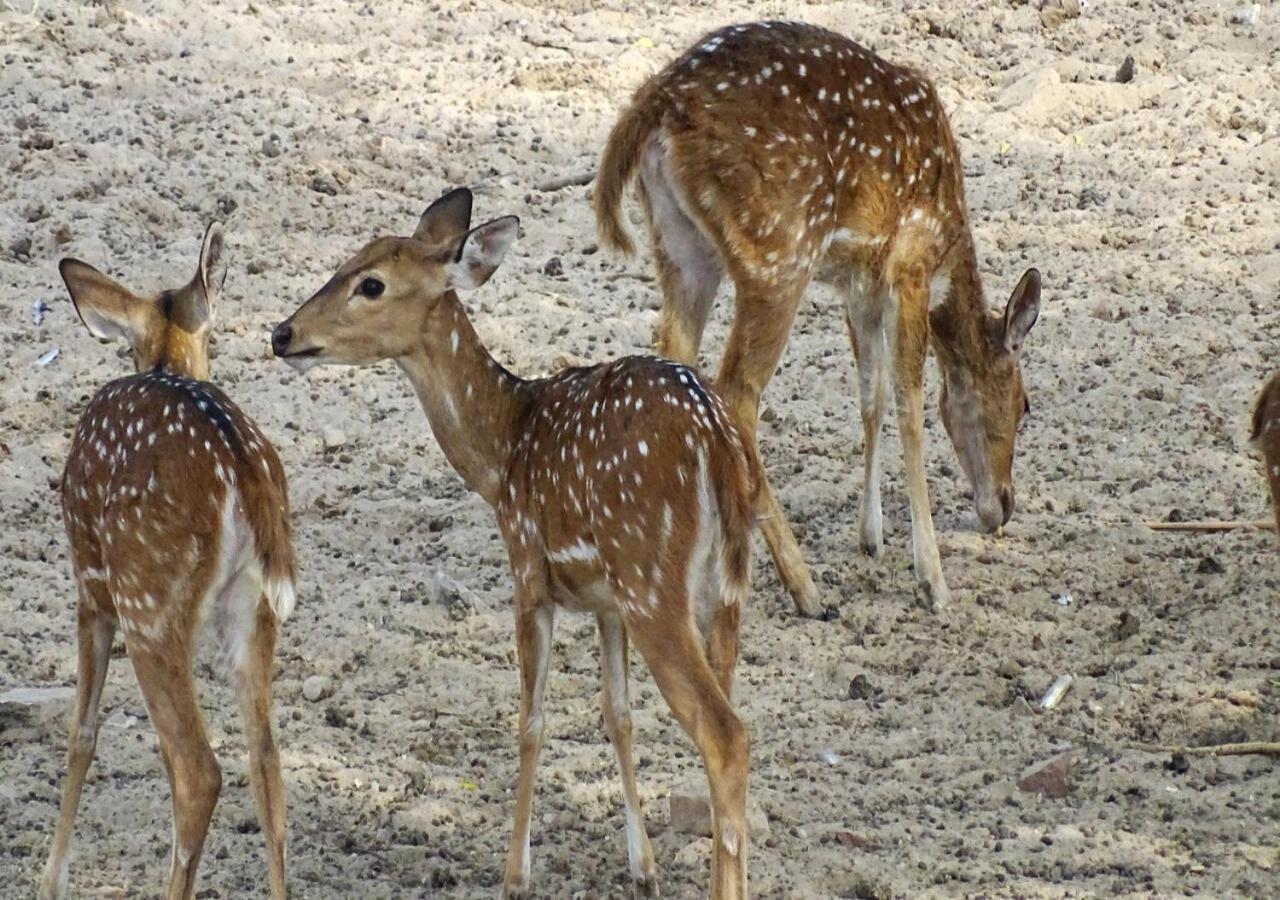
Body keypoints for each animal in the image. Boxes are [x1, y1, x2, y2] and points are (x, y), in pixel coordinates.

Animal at [40, 224, 294, 900]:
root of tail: (239, 471)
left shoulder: (90, 587)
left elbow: (82, 733)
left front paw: (51, 878)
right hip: (252, 609)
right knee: (265, 762)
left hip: (146, 598)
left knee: (199, 769)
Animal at [267, 186, 747, 896]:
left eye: (371, 283)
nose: (283, 333)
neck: (501, 457)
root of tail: (715, 442)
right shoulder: (605, 602)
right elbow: (617, 713)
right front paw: (643, 867)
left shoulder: (529, 569)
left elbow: (531, 722)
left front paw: (514, 875)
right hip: (720, 584)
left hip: (652, 578)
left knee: (725, 734)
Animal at [593, 21, 1044, 617]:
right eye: (1024, 402)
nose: (1005, 505)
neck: (949, 242)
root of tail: (655, 104)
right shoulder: (909, 264)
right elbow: (910, 402)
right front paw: (932, 580)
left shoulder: (861, 283)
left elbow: (872, 395)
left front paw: (871, 537)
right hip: (778, 252)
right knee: (736, 391)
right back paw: (805, 588)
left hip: (679, 244)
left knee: (674, 358)